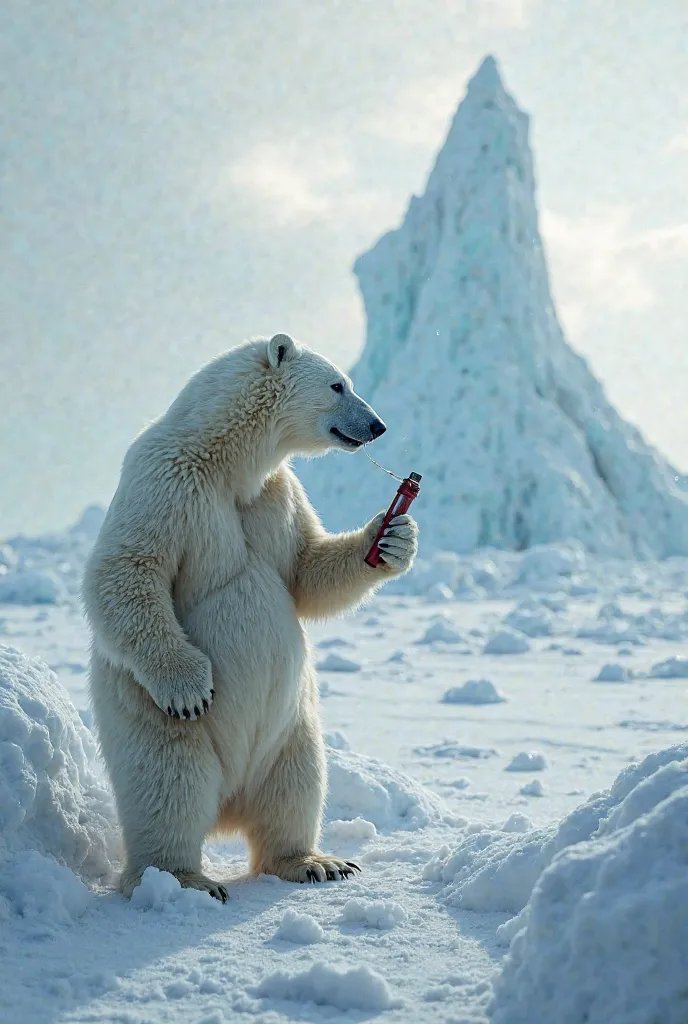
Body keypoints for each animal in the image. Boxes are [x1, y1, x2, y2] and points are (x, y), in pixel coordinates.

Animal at [86, 331, 419, 901]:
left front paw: (392, 535)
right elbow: (129, 569)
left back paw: (317, 862)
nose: (377, 425)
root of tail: (230, 802)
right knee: (168, 786)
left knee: (296, 786)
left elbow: (304, 570)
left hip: (291, 728)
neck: (226, 460)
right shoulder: (167, 480)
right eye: (338, 384)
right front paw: (189, 686)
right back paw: (185, 879)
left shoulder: (277, 492)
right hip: (148, 717)